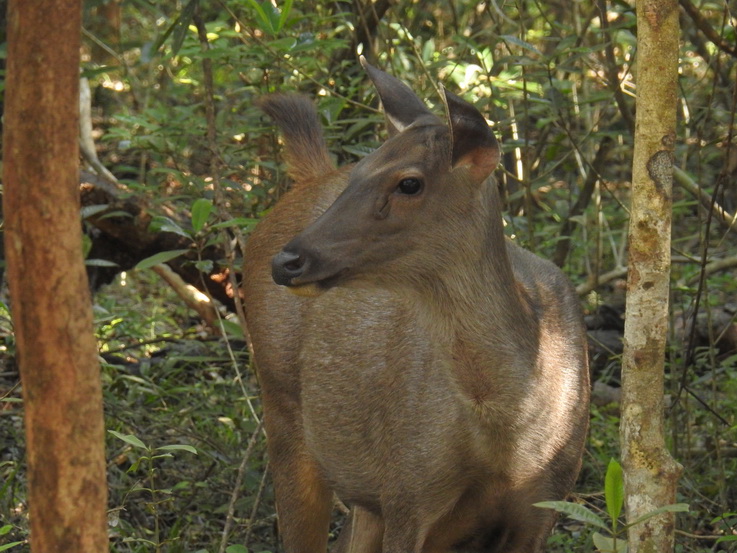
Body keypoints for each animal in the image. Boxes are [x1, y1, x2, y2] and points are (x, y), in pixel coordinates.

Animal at [242, 57, 588, 552]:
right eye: (360, 169)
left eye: (409, 183)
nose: (287, 261)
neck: (506, 434)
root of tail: (311, 176)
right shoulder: (409, 489)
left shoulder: (545, 502)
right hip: (283, 408)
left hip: (367, 495)